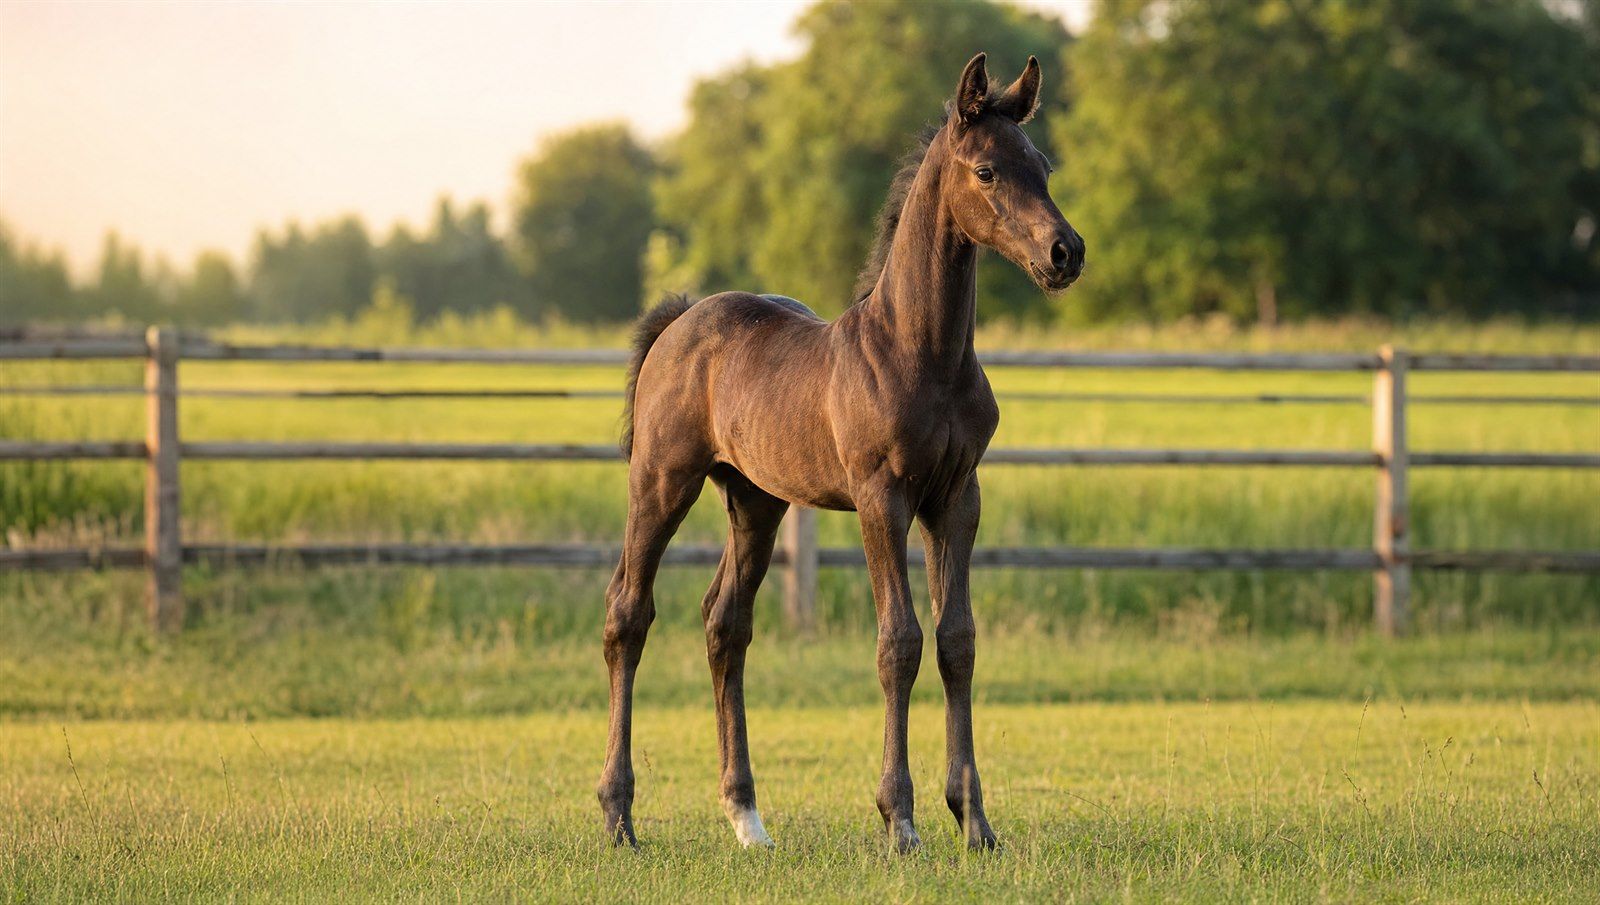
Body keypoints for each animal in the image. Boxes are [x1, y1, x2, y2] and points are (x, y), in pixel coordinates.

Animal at [598, 52, 1084, 852]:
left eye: (1040, 166)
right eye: (986, 171)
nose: (1065, 252)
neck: (921, 351)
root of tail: (679, 320)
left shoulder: (957, 497)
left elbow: (957, 641)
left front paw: (974, 822)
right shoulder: (880, 497)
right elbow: (900, 642)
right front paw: (901, 821)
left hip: (755, 501)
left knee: (725, 624)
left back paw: (748, 819)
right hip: (662, 480)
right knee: (628, 615)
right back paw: (618, 816)